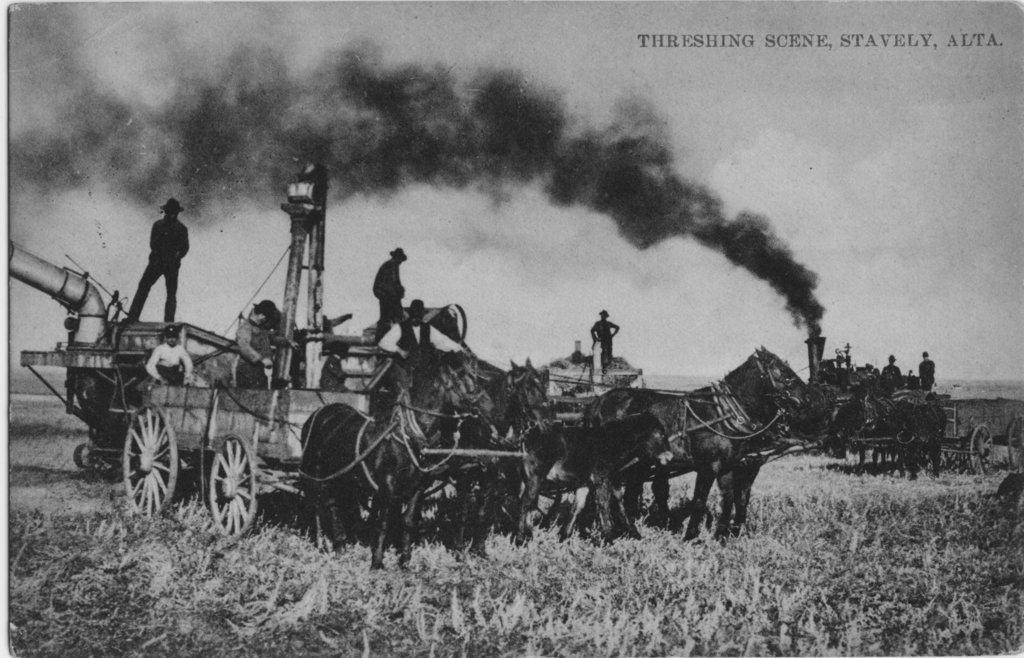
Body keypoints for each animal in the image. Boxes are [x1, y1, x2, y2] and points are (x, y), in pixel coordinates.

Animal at [585, 349, 798, 540]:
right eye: (782, 371)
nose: (803, 399)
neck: (722, 415)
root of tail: (598, 402)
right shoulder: (710, 466)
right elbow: (701, 501)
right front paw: (691, 535)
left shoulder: (729, 465)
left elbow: (730, 499)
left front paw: (722, 535)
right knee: (609, 490)